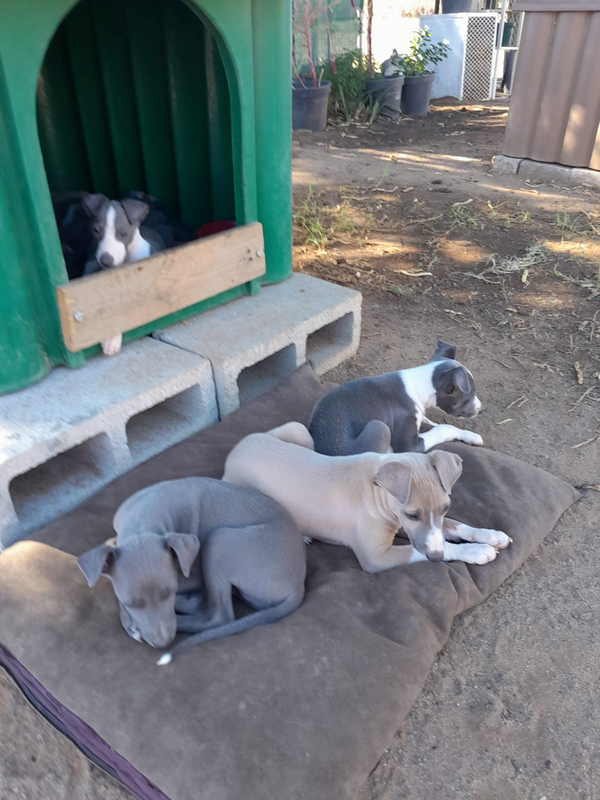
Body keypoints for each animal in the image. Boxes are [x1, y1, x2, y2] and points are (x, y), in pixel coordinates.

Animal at [223, 422, 512, 572]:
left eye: (445, 507)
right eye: (411, 514)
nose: (436, 557)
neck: (376, 490)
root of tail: (235, 452)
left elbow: (454, 526)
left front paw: (491, 535)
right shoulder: (376, 557)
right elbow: (419, 549)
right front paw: (475, 551)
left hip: (298, 432)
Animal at [310, 340, 482, 456]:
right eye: (470, 394)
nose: (481, 409)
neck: (422, 385)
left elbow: (433, 423)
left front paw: (472, 436)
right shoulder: (410, 445)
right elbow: (443, 428)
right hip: (379, 427)